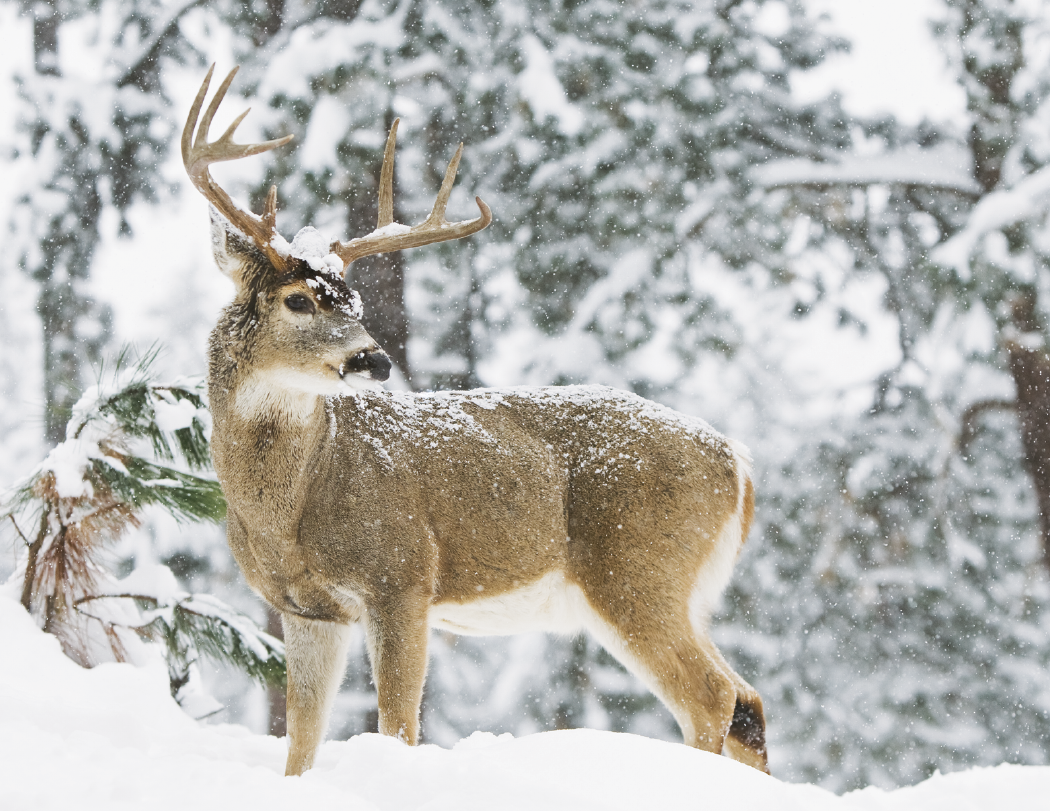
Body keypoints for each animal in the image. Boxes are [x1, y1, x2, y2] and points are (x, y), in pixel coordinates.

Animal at [183, 65, 768, 777]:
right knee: (747, 702)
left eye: (353, 300)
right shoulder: (305, 609)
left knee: (713, 698)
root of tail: (736, 461)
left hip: (638, 567)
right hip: (681, 590)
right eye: (298, 300)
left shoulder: (402, 577)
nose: (375, 359)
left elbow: (398, 727)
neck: (288, 508)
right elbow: (300, 744)